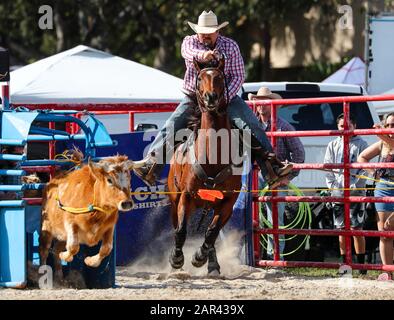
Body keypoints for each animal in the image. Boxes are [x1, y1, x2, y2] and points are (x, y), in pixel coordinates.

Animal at [167, 57, 242, 276]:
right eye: (200, 78)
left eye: (220, 78)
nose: (211, 97)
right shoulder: (186, 196)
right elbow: (181, 230)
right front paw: (176, 259)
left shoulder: (228, 202)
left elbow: (212, 232)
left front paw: (200, 257)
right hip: (174, 199)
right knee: (176, 226)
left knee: (212, 235)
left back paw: (213, 265)